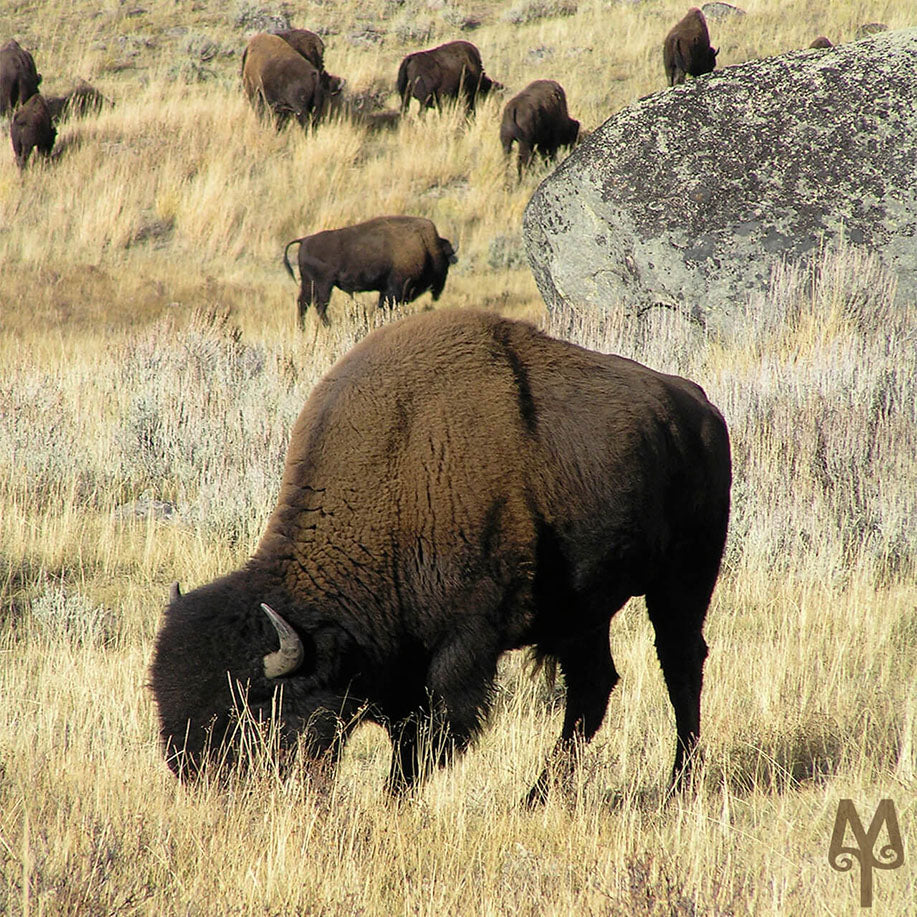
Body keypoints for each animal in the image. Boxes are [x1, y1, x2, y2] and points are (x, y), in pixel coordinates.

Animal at [148, 308, 728, 800]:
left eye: (254, 710)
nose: (197, 778)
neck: (393, 474)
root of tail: (700, 406)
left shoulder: (464, 641)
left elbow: (432, 730)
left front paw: (392, 799)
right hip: (583, 610)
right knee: (593, 685)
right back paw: (537, 796)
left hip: (684, 579)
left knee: (680, 663)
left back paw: (679, 782)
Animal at [282, 215, 458, 326]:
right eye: (447, 260)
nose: (438, 292)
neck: (427, 247)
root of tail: (304, 240)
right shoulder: (393, 289)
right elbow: (383, 305)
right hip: (323, 284)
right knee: (319, 305)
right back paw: (329, 326)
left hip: (308, 282)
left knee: (303, 303)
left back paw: (302, 329)